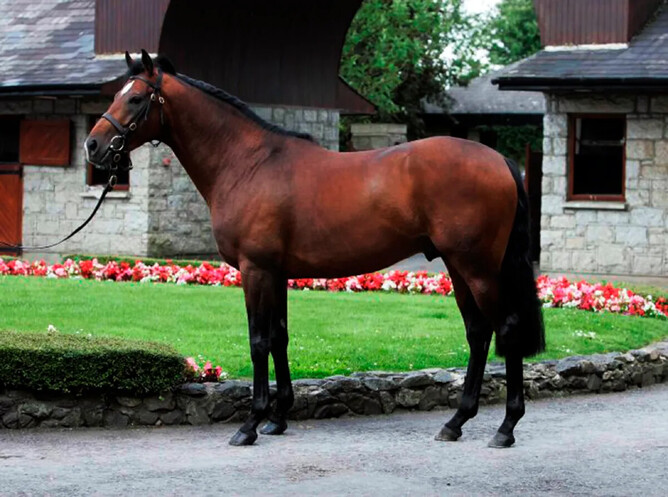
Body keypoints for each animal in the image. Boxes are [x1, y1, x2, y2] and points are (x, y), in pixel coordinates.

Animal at [85, 50, 545, 448]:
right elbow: (279, 337)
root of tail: (500, 161)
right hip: (457, 264)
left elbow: (258, 341)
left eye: (136, 98)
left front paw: (250, 425)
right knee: (478, 333)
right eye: (115, 94)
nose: (94, 146)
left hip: (478, 267)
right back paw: (456, 422)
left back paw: (505, 428)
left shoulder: (255, 270)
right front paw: (277, 418)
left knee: (505, 329)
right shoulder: (277, 273)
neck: (248, 163)